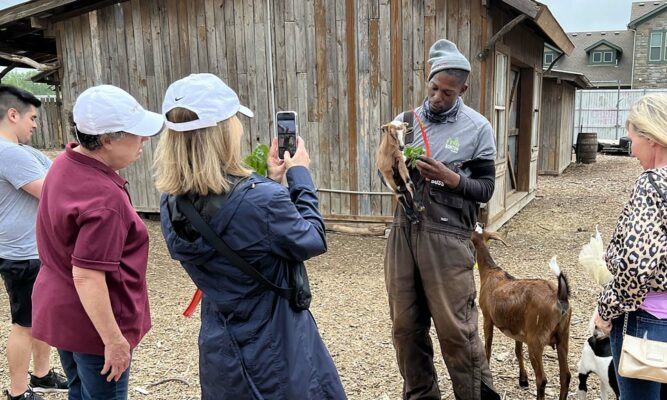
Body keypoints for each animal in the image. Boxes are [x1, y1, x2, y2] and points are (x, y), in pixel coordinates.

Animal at [470, 228, 576, 400]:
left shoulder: (487, 316)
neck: (490, 272)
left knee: (542, 379)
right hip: (563, 335)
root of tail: (560, 296)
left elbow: (488, 346)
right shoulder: (518, 329)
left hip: (536, 339)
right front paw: (523, 379)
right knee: (565, 376)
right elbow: (518, 351)